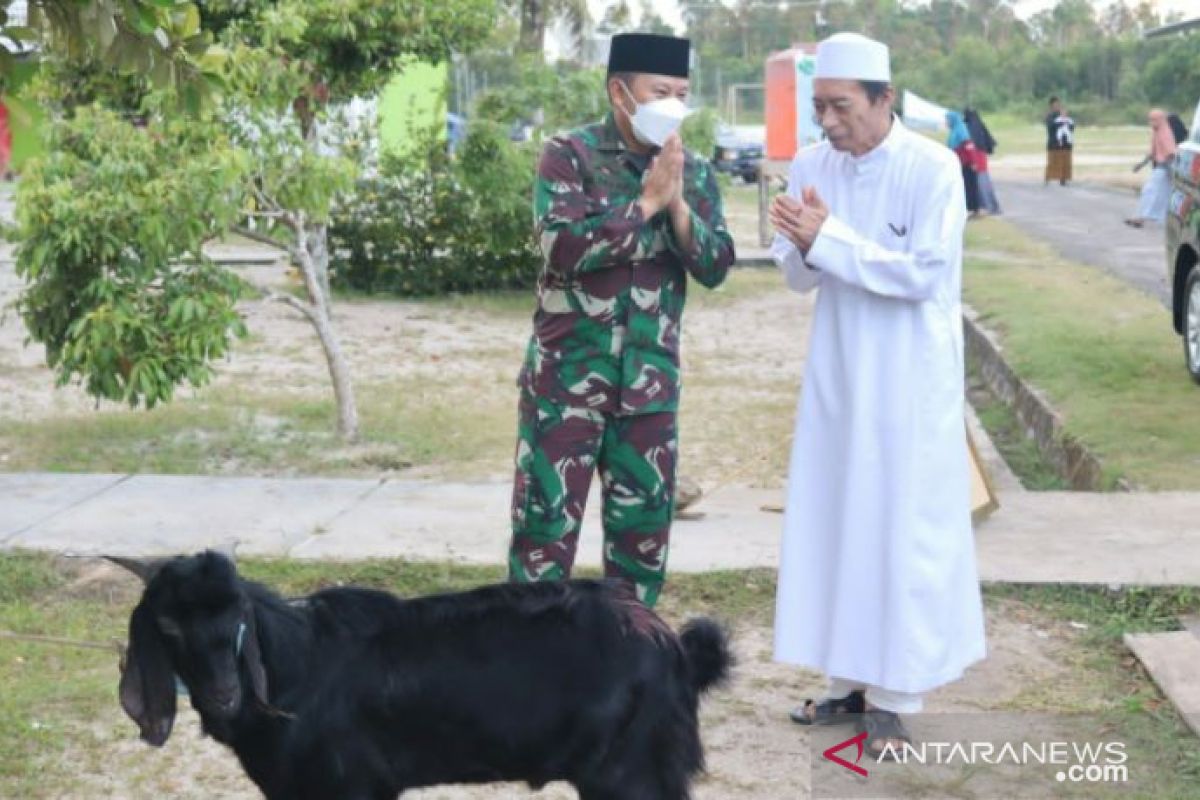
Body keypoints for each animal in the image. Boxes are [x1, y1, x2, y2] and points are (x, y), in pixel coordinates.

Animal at [114, 554, 729, 796]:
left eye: (238, 619)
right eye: (167, 626)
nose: (224, 694)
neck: (297, 667)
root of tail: (678, 646)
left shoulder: (351, 788)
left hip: (633, 774)